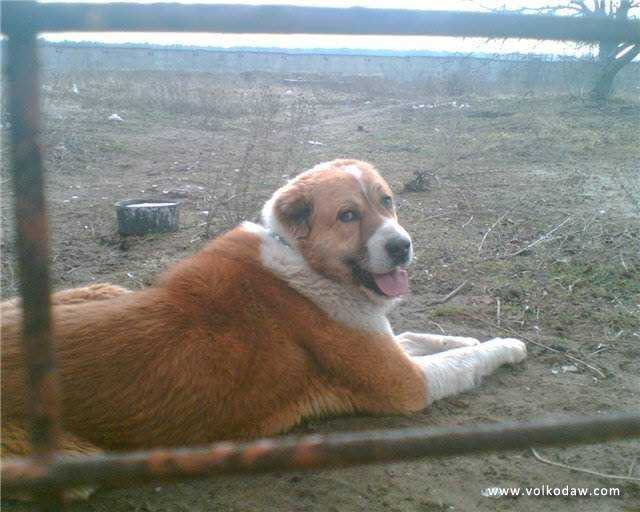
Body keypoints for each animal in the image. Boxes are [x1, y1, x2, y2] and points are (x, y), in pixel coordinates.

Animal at [0, 158, 524, 458]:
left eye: (387, 201)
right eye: (348, 215)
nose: (402, 246)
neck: (300, 259)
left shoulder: (381, 339)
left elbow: (418, 336)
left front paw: (462, 335)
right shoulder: (407, 384)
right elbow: (465, 359)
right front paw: (506, 344)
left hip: (103, 288)